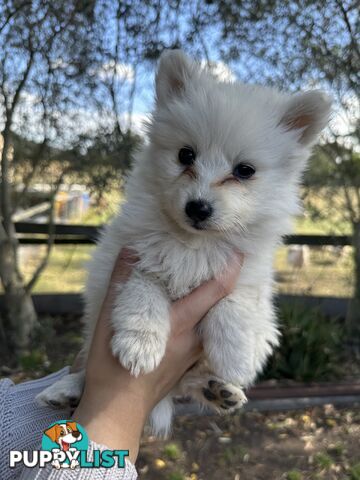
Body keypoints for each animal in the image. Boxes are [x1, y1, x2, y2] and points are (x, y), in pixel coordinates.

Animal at [37, 50, 332, 436]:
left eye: (245, 171)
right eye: (185, 156)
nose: (198, 207)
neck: (193, 244)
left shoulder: (244, 274)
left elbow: (233, 306)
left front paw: (233, 357)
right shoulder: (134, 259)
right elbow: (145, 295)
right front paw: (140, 346)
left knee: (190, 382)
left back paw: (219, 389)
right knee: (89, 367)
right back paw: (67, 391)